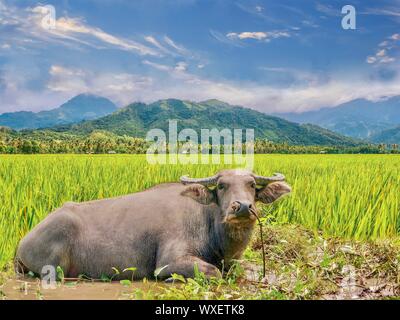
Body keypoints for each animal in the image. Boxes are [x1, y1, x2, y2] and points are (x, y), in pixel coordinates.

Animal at [16, 170, 290, 280]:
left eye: (251, 185)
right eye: (222, 185)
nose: (242, 207)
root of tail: (22, 243)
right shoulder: (169, 261)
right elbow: (212, 272)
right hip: (56, 267)